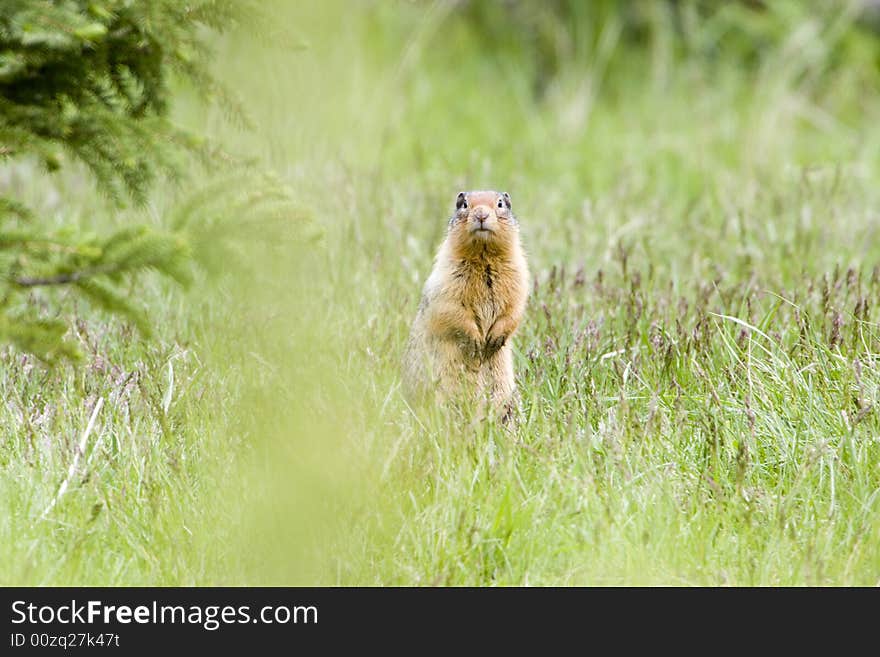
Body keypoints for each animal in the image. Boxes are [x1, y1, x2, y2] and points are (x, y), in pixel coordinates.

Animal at [404, 190, 528, 420]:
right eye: (463, 204)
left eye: (500, 203)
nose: (481, 215)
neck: (484, 254)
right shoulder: (446, 280)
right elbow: (451, 309)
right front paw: (476, 341)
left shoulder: (519, 275)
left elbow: (514, 308)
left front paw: (495, 338)